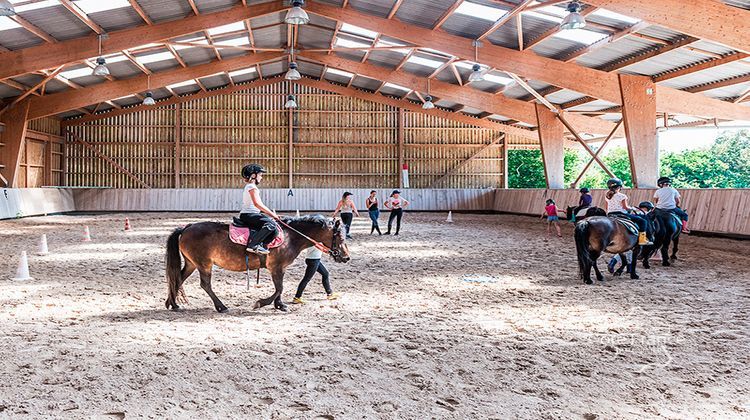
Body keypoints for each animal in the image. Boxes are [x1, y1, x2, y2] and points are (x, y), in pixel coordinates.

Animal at [166, 217, 352, 312]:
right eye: (340, 237)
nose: (346, 257)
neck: (290, 236)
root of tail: (186, 227)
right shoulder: (276, 267)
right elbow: (279, 288)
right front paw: (262, 303)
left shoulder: (280, 269)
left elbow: (279, 288)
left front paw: (279, 305)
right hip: (204, 264)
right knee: (205, 284)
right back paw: (221, 306)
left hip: (192, 263)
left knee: (178, 279)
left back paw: (172, 304)